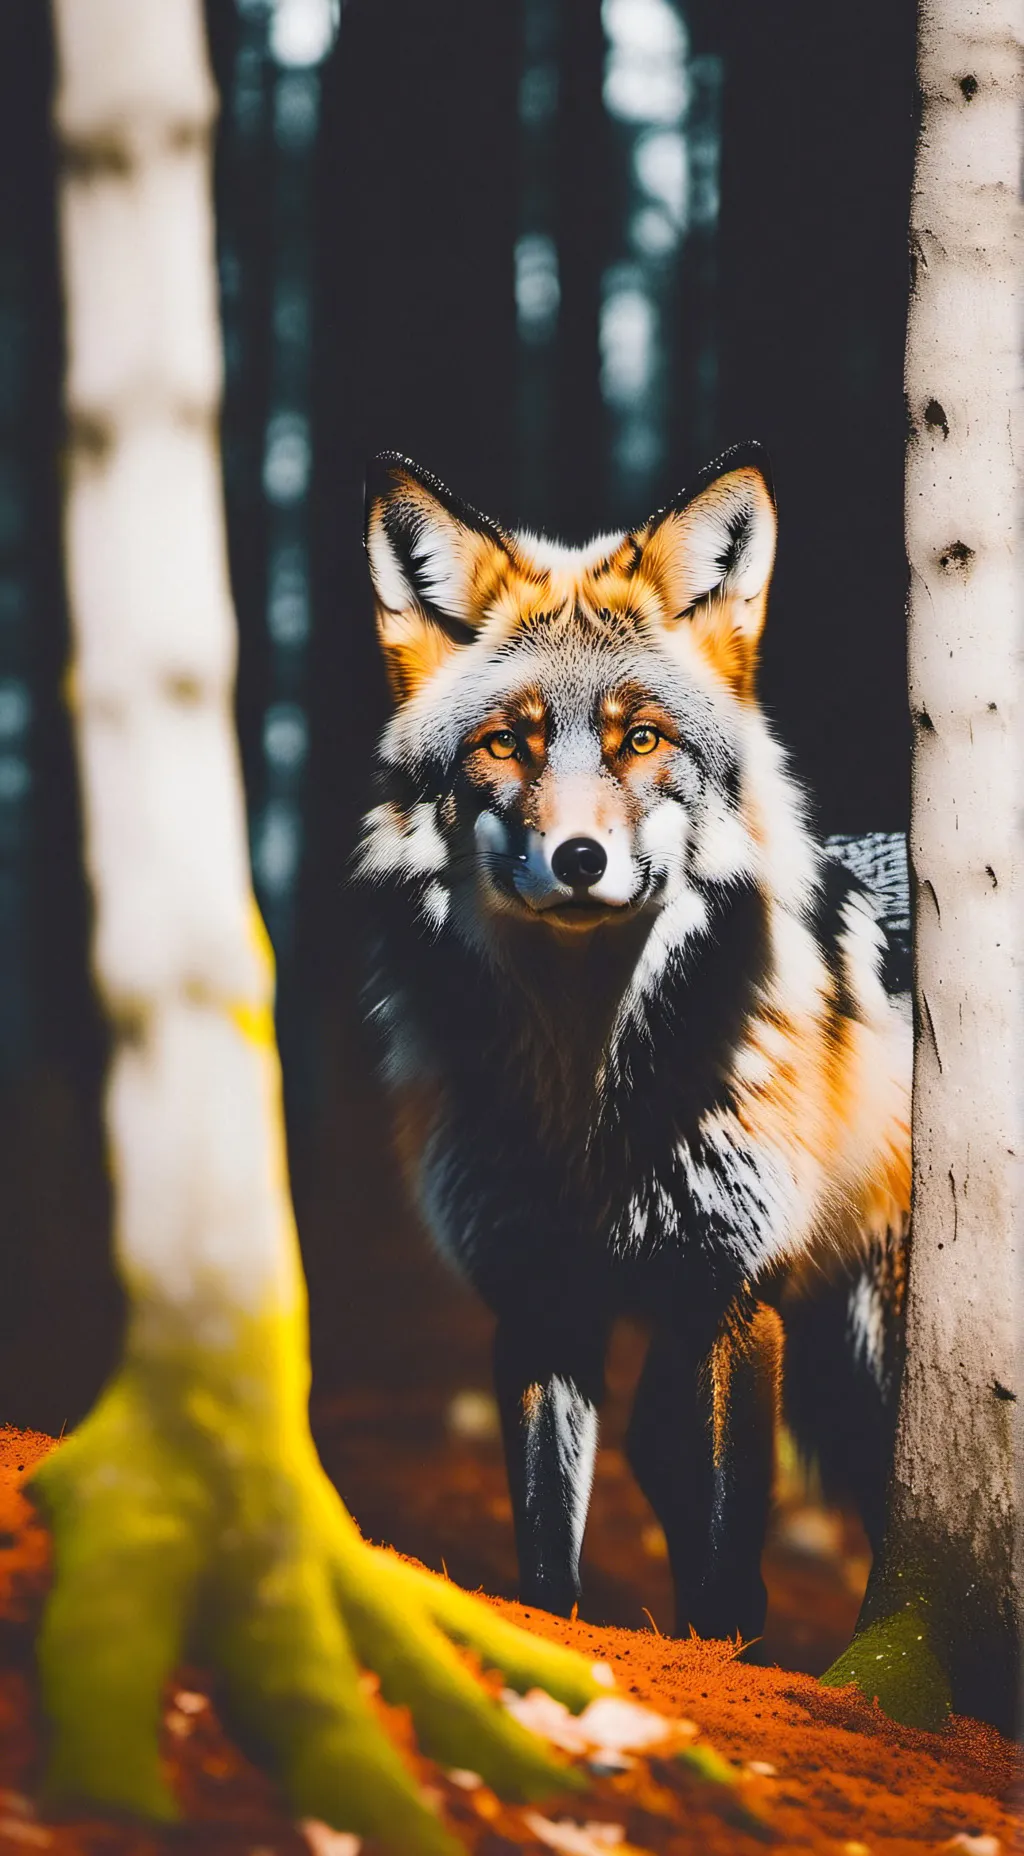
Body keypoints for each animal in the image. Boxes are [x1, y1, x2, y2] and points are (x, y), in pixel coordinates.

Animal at [356, 441, 912, 1643]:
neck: (587, 1096)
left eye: (640, 739)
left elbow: (727, 1558)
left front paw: (729, 1641)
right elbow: (545, 1565)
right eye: (506, 744)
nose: (577, 859)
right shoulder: (534, 1292)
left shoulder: (729, 1287)